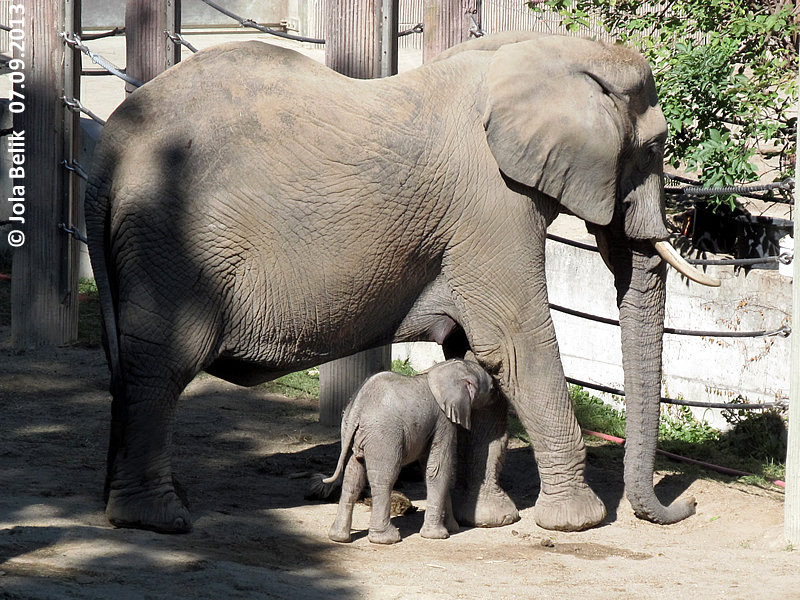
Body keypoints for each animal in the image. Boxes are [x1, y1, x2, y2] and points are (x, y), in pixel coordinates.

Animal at [324, 358, 494, 544]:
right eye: (491, 388)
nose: (497, 393)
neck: (440, 369)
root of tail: (358, 407)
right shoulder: (443, 421)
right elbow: (438, 469)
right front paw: (439, 535)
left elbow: (430, 466)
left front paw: (452, 528)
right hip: (384, 435)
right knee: (385, 477)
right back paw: (387, 538)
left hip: (351, 430)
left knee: (353, 476)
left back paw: (338, 537)